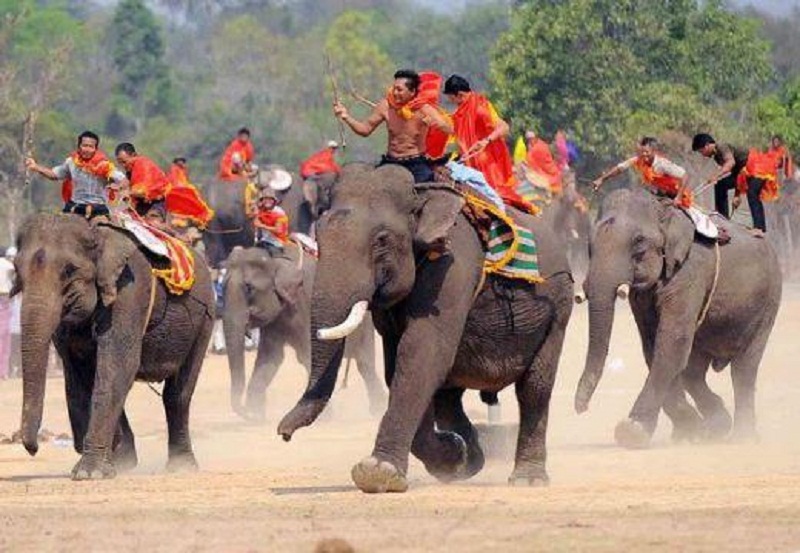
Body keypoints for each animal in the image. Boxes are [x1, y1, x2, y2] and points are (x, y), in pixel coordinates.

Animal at [14, 211, 214, 478]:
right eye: (17, 271)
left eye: (69, 271)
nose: (33, 448)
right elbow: (80, 374)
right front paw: (115, 461)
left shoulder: (130, 289)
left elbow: (117, 365)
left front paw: (89, 473)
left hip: (205, 318)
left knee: (177, 394)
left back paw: (181, 467)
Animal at [223, 244, 386, 420]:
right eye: (222, 286)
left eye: (249, 288)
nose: (247, 413)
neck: (277, 260)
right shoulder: (276, 320)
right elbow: (271, 357)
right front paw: (256, 413)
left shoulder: (306, 308)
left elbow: (308, 356)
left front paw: (321, 418)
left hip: (364, 321)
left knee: (365, 363)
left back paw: (378, 410)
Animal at [278, 163, 572, 492]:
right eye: (319, 233)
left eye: (381, 240)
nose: (283, 434)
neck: (421, 195)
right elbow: (400, 366)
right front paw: (455, 456)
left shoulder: (454, 266)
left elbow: (422, 354)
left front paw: (378, 473)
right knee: (448, 397)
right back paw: (469, 455)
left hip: (558, 306)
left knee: (534, 388)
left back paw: (527, 479)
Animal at [576, 188, 780, 446]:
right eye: (589, 245)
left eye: (639, 242)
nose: (581, 408)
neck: (664, 210)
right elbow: (653, 346)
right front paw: (691, 432)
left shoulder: (690, 271)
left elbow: (671, 342)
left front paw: (632, 431)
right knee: (694, 371)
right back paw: (717, 426)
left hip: (768, 303)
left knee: (744, 369)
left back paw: (742, 438)